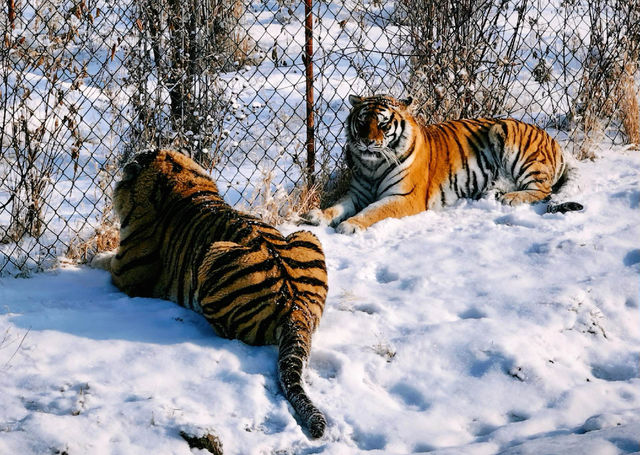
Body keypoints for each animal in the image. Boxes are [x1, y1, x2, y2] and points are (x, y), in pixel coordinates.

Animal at [95, 149, 330, 438]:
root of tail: (295, 304)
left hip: (215, 254)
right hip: (307, 235)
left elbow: (102, 262)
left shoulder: (124, 270)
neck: (178, 175)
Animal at [302, 93, 584, 235]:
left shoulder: (405, 197)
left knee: (543, 189)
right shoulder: (357, 193)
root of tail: (554, 142)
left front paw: (350, 224)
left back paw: (511, 198)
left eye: (382, 124)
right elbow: (338, 206)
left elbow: (374, 211)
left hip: (509, 135)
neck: (373, 165)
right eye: (361, 122)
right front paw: (317, 215)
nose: (367, 142)